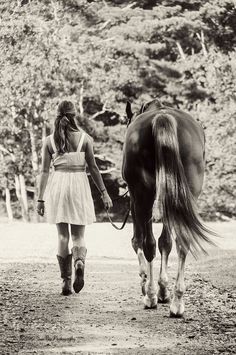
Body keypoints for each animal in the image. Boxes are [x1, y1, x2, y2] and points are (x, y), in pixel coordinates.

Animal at [122, 98, 215, 318]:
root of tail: (161, 117)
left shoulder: (135, 202)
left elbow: (137, 241)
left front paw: (148, 284)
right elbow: (166, 242)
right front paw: (164, 289)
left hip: (143, 197)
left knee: (148, 243)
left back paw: (150, 296)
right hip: (184, 195)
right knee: (182, 242)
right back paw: (177, 302)